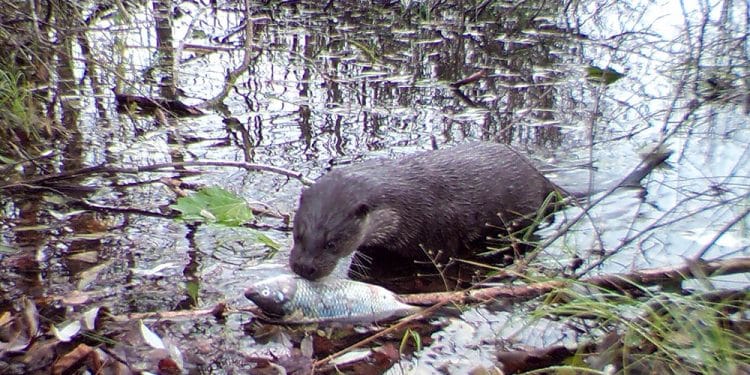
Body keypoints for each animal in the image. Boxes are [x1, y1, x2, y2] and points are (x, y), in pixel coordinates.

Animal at [290, 142, 560, 280]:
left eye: (332, 243)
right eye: (298, 235)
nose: (304, 267)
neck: (406, 205)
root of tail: (540, 176)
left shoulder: (439, 238)